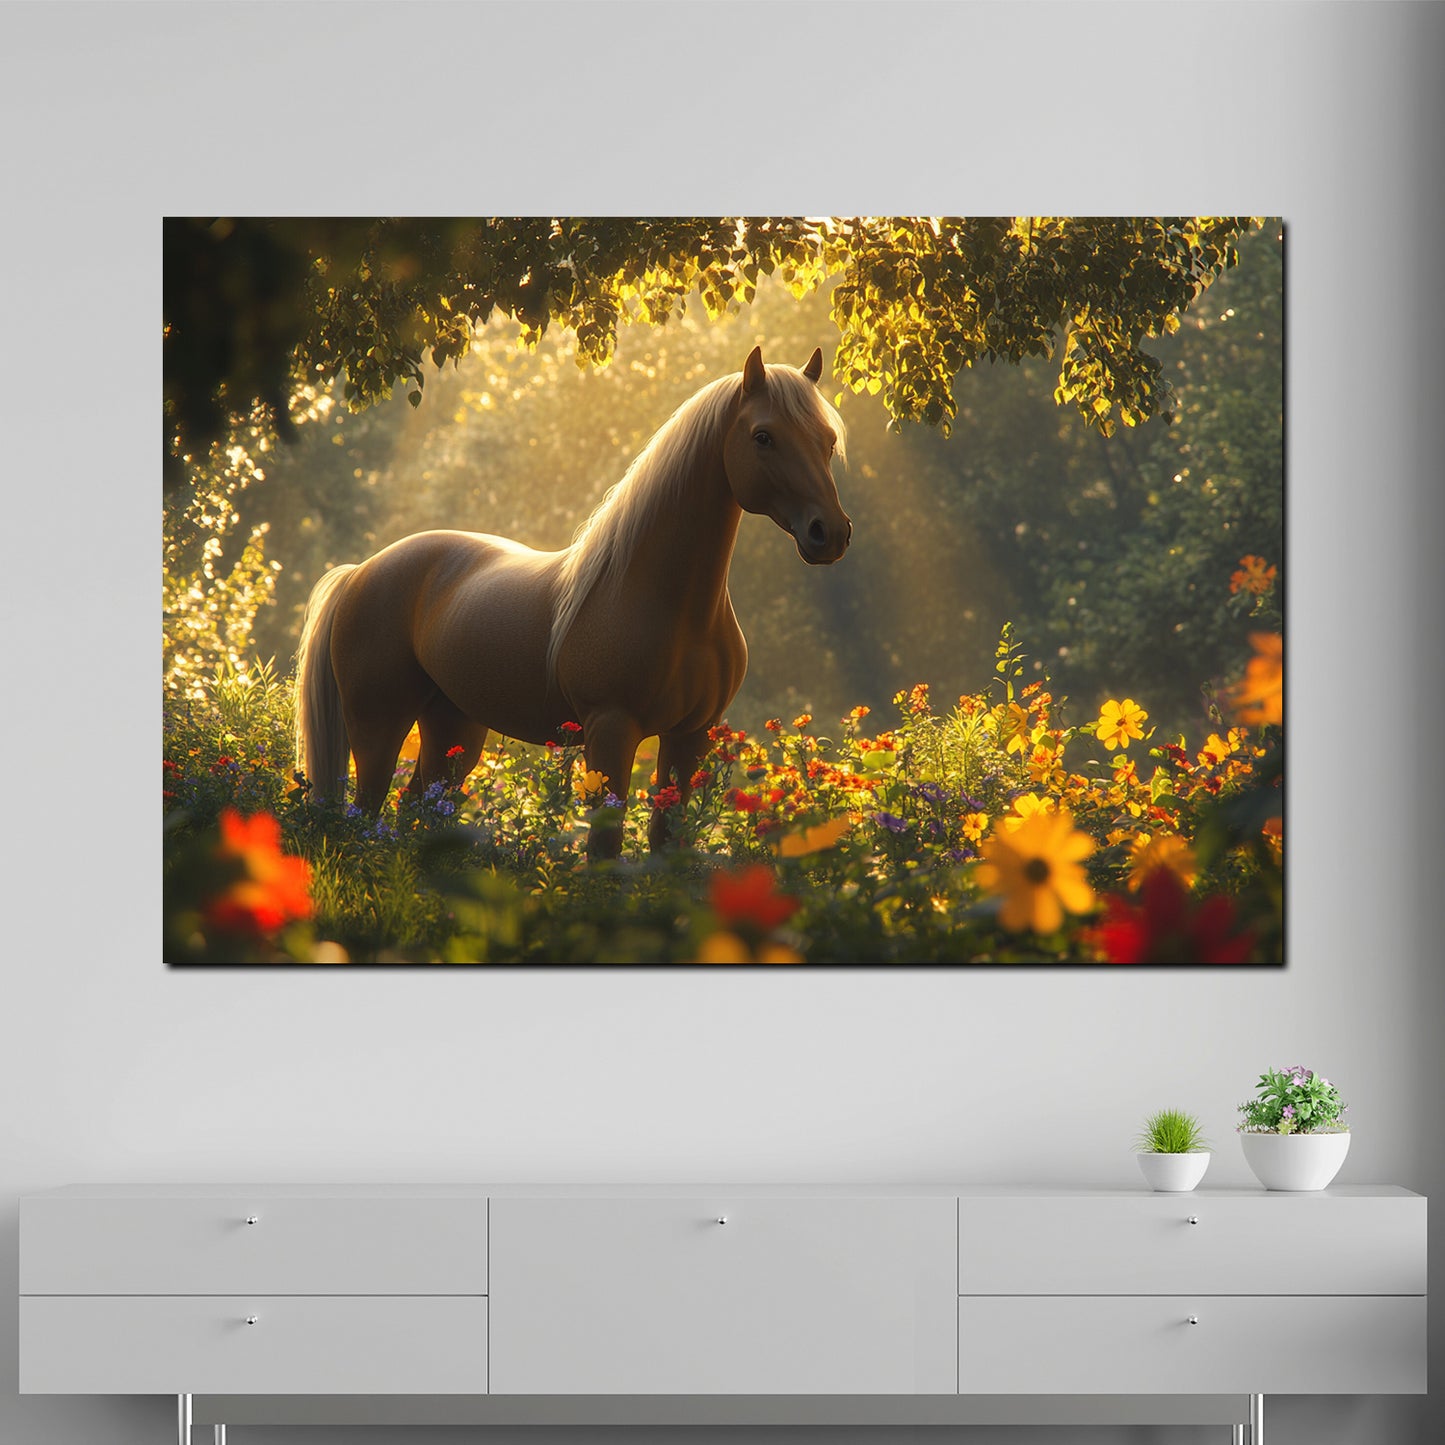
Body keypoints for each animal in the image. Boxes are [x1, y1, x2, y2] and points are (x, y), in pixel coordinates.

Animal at [294, 345, 851, 859]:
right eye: (763, 436)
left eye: (827, 440)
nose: (830, 533)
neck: (669, 604)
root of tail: (361, 571)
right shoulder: (611, 732)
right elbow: (604, 849)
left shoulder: (692, 736)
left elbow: (667, 845)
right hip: (378, 726)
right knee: (366, 812)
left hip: (453, 729)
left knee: (417, 811)